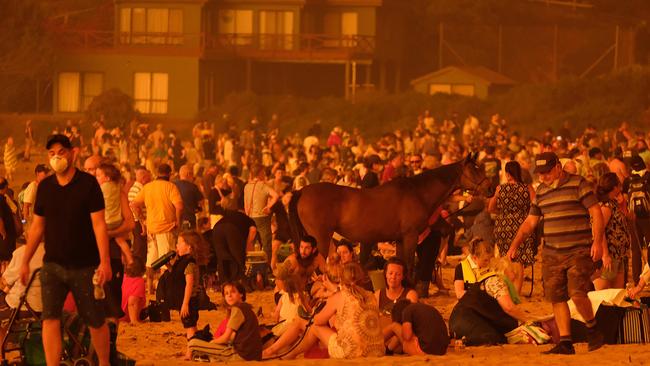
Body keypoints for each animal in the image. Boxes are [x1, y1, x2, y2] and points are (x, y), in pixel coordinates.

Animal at [288, 153, 486, 270]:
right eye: (474, 169)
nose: (490, 187)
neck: (417, 192)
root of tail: (302, 191)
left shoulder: (399, 239)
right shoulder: (410, 236)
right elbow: (408, 265)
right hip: (320, 238)